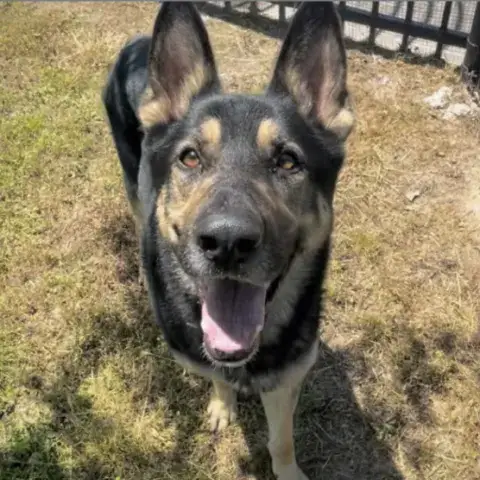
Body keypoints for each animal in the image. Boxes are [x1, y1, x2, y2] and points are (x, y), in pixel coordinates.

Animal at [102, 2, 354, 479]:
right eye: (190, 157)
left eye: (288, 161)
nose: (226, 242)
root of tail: (139, 42)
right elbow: (218, 377)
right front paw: (223, 404)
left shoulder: (286, 380)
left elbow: (281, 440)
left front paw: (287, 469)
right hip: (130, 181)